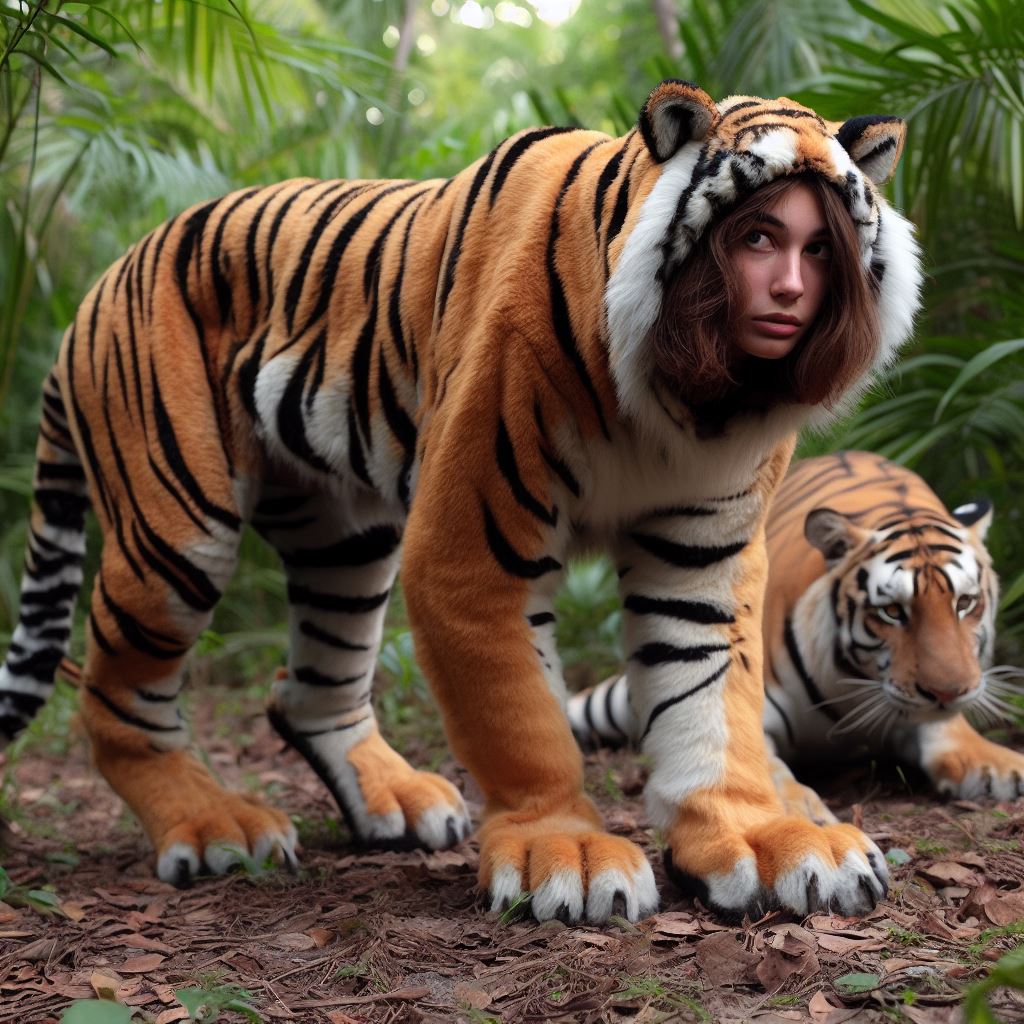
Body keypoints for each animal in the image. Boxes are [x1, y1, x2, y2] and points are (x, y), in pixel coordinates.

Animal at [0, 80, 923, 923]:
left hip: (345, 543)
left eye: (819, 247)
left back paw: (396, 802)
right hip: (177, 530)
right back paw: (216, 825)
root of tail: (98, 286)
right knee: (113, 696)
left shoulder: (700, 552)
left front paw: (763, 838)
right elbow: (519, 715)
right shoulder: (476, 544)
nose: (790, 296)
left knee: (310, 688)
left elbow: (707, 700)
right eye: (761, 235)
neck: (689, 399)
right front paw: (566, 852)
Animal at [569, 450, 1024, 825]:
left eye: (965, 603)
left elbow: (946, 728)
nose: (948, 693)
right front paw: (800, 812)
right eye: (892, 611)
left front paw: (996, 765)